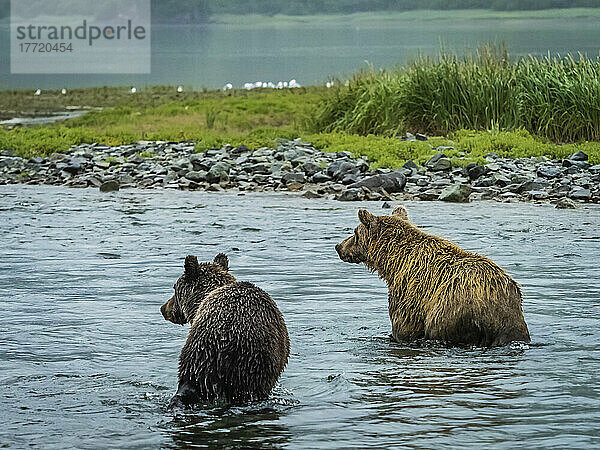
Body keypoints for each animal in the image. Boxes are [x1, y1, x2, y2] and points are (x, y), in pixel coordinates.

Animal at [338, 207, 528, 348]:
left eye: (355, 232)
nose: (338, 246)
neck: (395, 261)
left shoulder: (409, 290)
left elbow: (403, 326)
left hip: (450, 309)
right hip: (512, 317)